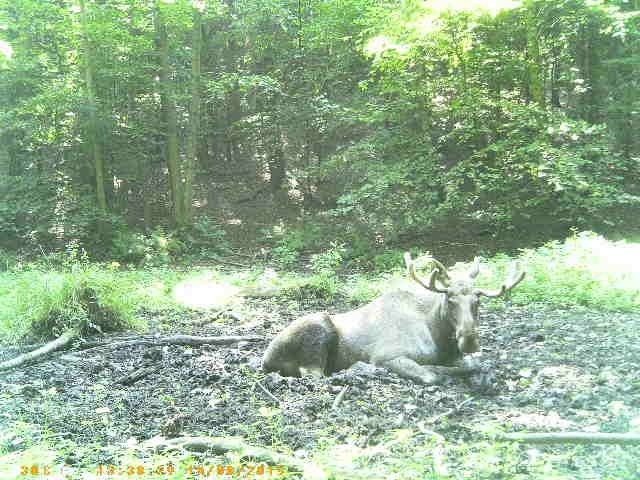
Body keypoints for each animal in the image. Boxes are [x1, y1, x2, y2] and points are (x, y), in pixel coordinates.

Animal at [262, 253, 524, 384]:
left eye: (478, 300)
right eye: (449, 299)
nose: (469, 340)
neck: (438, 337)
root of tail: (265, 360)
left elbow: (472, 364)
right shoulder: (387, 355)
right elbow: (430, 375)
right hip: (319, 327)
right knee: (314, 374)